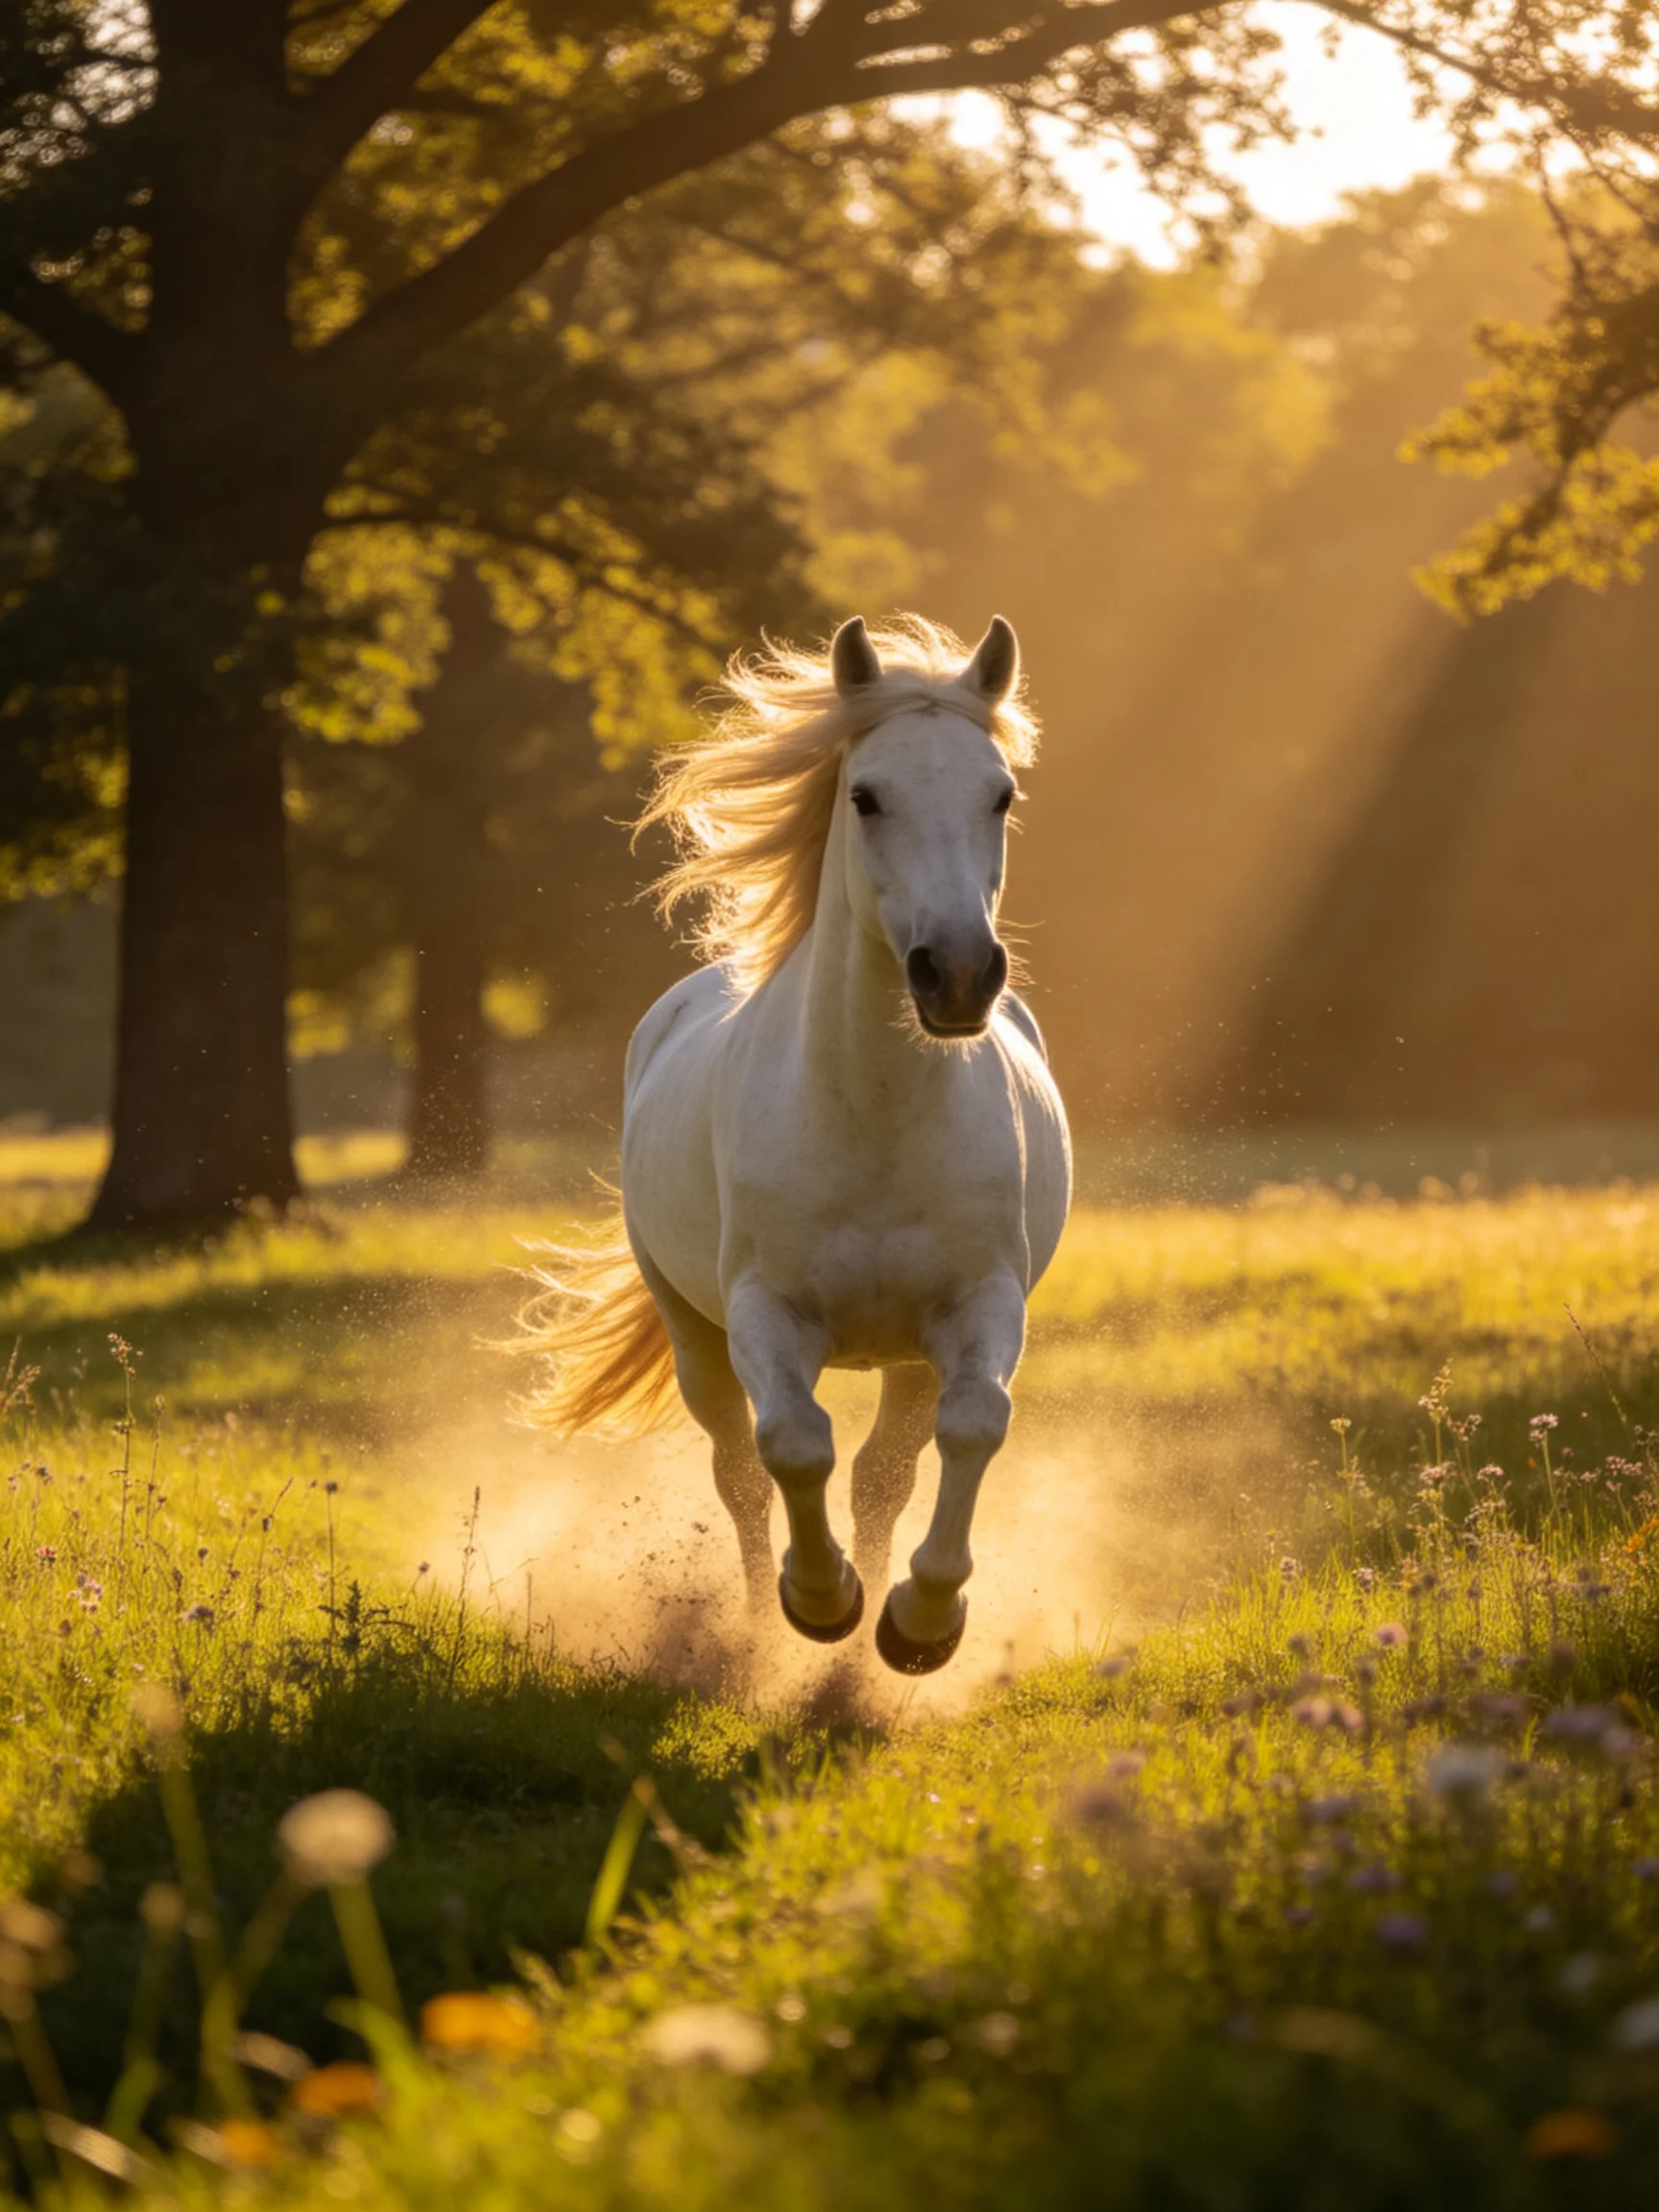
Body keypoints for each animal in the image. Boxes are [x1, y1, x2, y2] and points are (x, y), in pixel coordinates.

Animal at [523, 614, 1071, 1674]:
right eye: (866, 796)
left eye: (1001, 794)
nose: (959, 975)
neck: (873, 1120)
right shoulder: (762, 1314)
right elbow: (792, 1446)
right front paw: (820, 1602)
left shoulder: (976, 1304)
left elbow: (970, 1428)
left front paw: (919, 1622)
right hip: (692, 1331)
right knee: (738, 1467)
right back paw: (752, 1624)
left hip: (905, 1355)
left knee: (885, 1472)